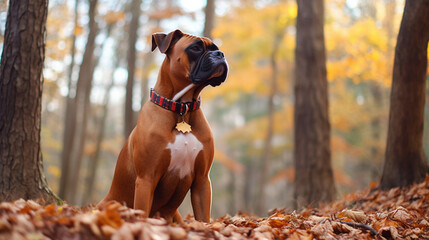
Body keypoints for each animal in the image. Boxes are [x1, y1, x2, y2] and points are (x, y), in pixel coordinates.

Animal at [98, 29, 227, 223]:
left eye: (215, 48)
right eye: (195, 48)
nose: (220, 54)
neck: (181, 108)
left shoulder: (202, 181)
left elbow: (204, 219)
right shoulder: (146, 179)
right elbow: (142, 215)